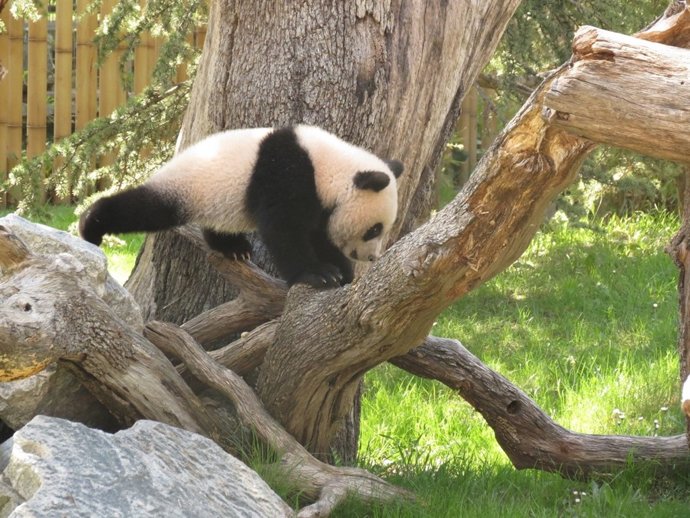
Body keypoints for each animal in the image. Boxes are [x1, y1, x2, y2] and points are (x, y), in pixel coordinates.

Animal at [79, 125, 404, 289]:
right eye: (374, 229)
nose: (371, 257)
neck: (328, 166)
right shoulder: (287, 174)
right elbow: (284, 230)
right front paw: (318, 274)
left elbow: (317, 234)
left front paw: (341, 270)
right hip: (186, 187)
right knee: (145, 208)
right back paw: (91, 225)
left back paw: (233, 248)